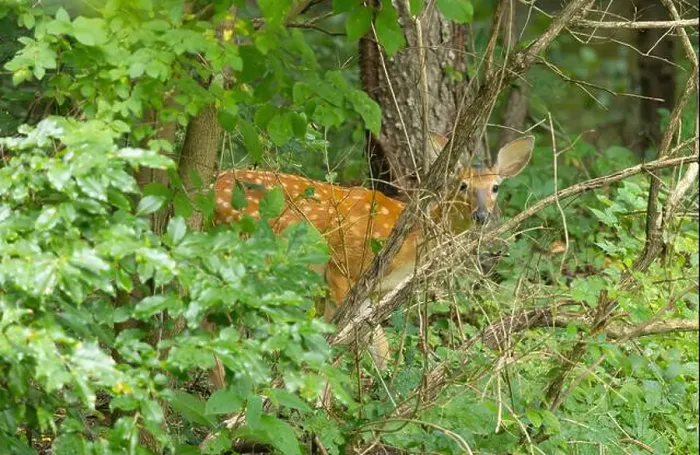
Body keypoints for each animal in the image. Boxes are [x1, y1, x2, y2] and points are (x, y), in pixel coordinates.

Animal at [211, 135, 534, 375]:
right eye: (463, 185)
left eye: (495, 187)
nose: (481, 215)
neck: (411, 243)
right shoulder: (343, 268)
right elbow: (332, 340)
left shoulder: (375, 291)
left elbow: (379, 346)